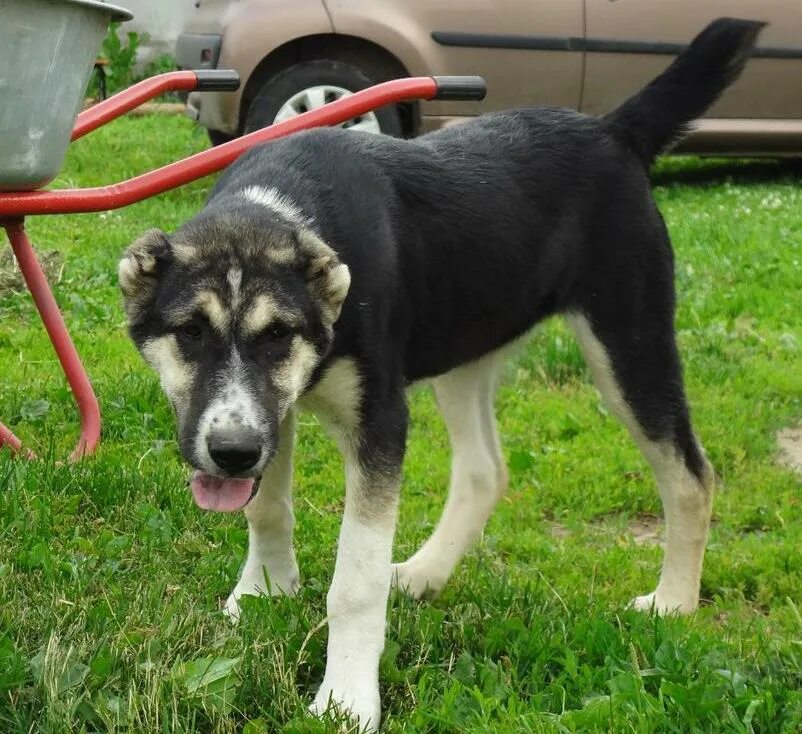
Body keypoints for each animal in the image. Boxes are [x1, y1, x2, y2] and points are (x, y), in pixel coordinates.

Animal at [117, 20, 764, 732]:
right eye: (190, 333)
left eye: (278, 336)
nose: (231, 453)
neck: (283, 208)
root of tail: (612, 129)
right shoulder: (270, 414)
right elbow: (267, 507)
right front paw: (264, 594)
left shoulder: (377, 422)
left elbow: (356, 578)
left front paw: (345, 698)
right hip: (466, 349)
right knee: (485, 471)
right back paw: (427, 573)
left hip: (629, 342)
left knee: (691, 475)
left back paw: (673, 602)